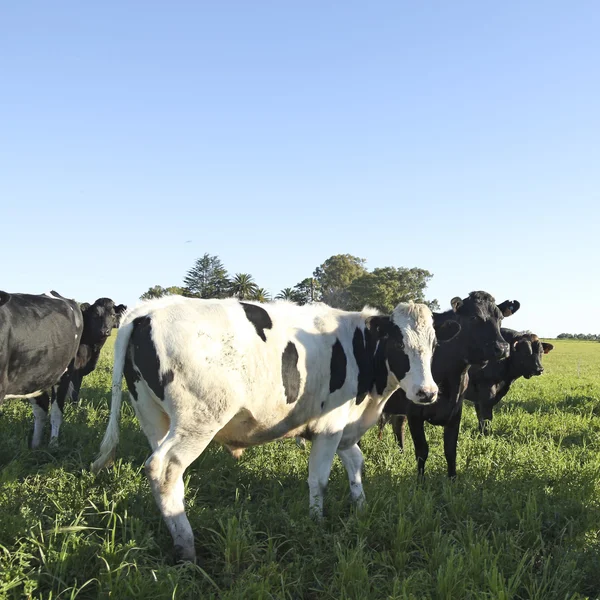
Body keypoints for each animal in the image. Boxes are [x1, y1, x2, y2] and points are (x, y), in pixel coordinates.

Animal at [92, 296, 460, 564]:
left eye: (434, 346)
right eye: (398, 346)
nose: (427, 392)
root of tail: (149, 309)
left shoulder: (345, 428)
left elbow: (356, 464)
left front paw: (360, 507)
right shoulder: (329, 427)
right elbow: (319, 480)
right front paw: (316, 522)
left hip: (154, 417)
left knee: (166, 478)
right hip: (198, 420)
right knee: (165, 469)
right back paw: (187, 547)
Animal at [382, 290, 516, 478]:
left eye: (500, 318)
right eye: (474, 317)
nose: (503, 348)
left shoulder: (456, 412)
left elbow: (451, 450)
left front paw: (452, 479)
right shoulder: (414, 412)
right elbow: (422, 451)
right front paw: (420, 481)